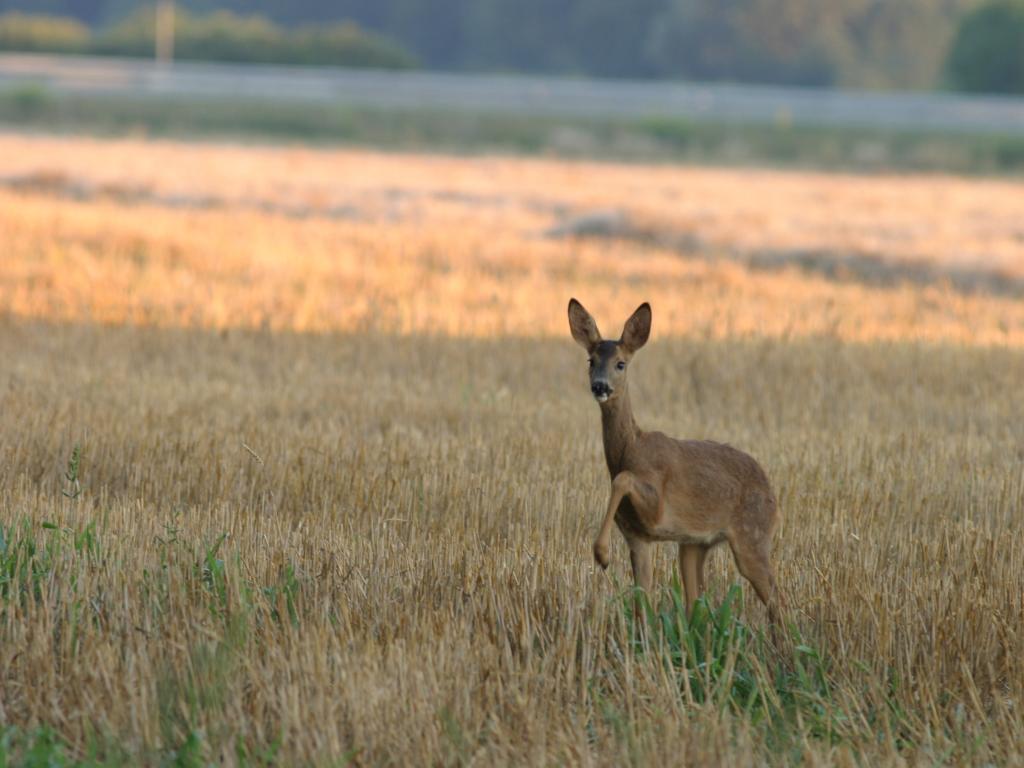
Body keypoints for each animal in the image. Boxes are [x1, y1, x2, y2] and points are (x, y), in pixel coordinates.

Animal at [573, 299, 778, 626]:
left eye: (621, 363)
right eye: (591, 360)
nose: (600, 387)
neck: (631, 449)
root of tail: (772, 492)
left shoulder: (656, 505)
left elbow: (623, 479)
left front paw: (601, 554)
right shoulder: (637, 538)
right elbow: (640, 603)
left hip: (753, 536)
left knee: (776, 599)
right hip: (694, 544)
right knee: (697, 603)